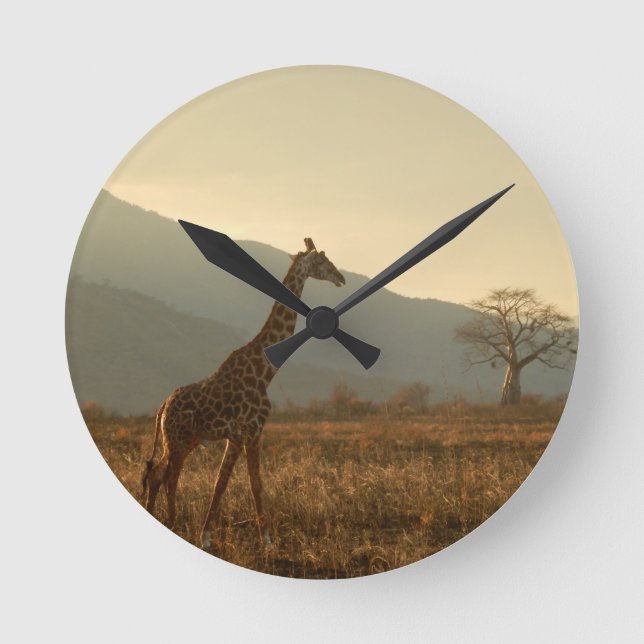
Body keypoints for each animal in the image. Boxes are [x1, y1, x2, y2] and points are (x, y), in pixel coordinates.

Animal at [142, 238, 345, 550]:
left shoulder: (244, 435)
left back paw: (159, 518)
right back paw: (172, 522)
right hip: (177, 439)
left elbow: (237, 483)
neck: (265, 370)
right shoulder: (247, 431)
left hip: (184, 440)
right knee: (169, 476)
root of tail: (163, 406)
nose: (341, 277)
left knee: (157, 473)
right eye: (322, 261)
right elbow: (239, 483)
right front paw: (257, 540)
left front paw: (235, 537)